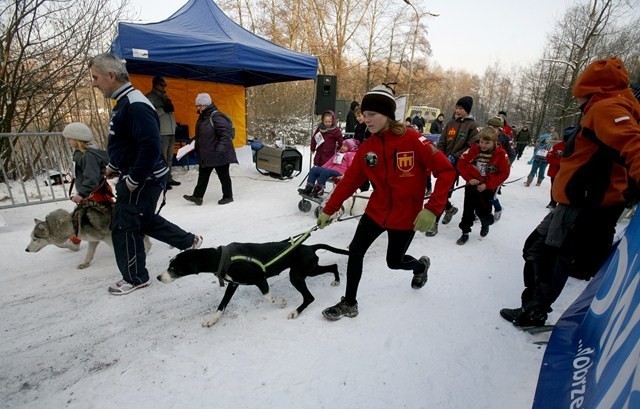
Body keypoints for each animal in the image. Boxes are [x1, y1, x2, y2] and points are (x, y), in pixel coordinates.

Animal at [160, 242, 350, 326]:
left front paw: (281, 302)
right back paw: (337, 279)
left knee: (309, 297)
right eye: (170, 264)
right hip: (309, 270)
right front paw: (212, 319)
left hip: (296, 275)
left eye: (173, 268)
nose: (158, 278)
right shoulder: (233, 284)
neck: (221, 258)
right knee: (333, 266)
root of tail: (309, 246)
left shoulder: (260, 279)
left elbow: (268, 298)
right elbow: (222, 305)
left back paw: (295, 312)